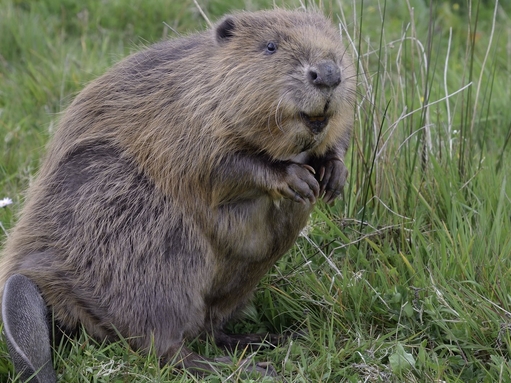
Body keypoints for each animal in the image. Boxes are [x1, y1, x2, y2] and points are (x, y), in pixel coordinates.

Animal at [0, 8, 356, 380]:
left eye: (335, 42)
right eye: (270, 46)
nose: (328, 74)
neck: (201, 78)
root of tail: (29, 279)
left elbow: (340, 133)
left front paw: (333, 175)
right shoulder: (183, 114)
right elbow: (219, 166)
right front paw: (296, 179)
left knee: (209, 325)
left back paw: (267, 338)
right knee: (161, 343)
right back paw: (247, 367)